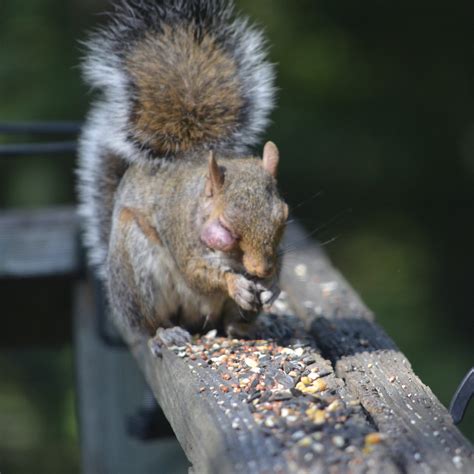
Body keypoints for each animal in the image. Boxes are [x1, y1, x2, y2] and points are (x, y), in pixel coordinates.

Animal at [77, 0, 288, 342]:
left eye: (284, 218)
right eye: (226, 228)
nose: (260, 271)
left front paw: (272, 287)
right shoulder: (178, 227)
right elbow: (196, 272)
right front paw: (236, 284)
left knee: (228, 324)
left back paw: (245, 326)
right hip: (139, 271)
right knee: (151, 323)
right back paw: (167, 332)